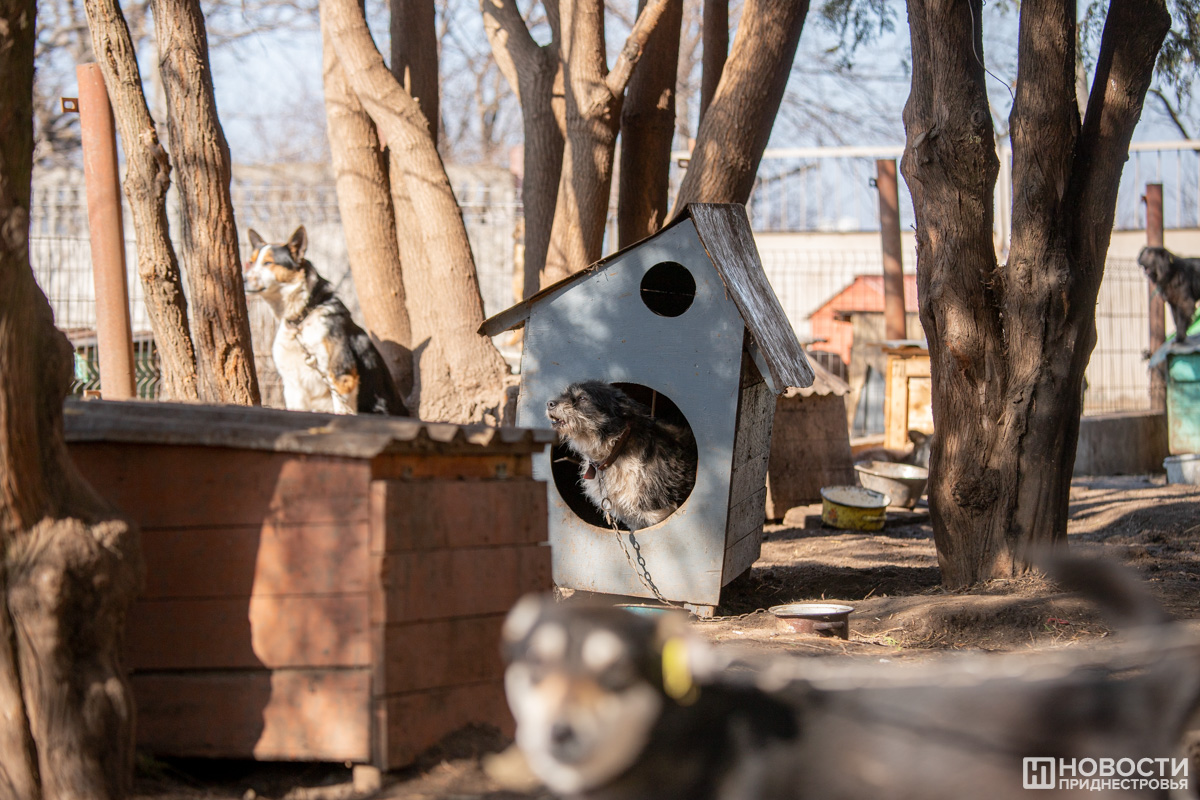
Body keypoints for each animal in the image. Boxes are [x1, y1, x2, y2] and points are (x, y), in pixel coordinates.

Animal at [242, 221, 408, 417]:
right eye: (251, 262)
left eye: (268, 263)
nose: (243, 280)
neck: (302, 317)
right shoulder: (293, 385)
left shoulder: (341, 376)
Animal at [544, 381, 696, 532]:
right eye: (563, 394)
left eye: (582, 398)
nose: (549, 403)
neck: (615, 451)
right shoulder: (632, 517)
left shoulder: (657, 512)